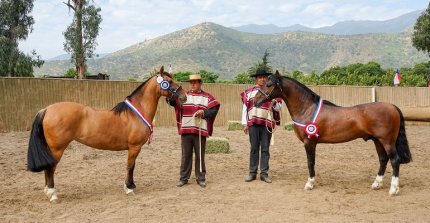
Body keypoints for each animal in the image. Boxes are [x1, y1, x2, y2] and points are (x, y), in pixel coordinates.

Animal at [26, 66, 186, 202]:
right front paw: (128, 188)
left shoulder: (134, 148)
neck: (136, 112)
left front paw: (132, 185)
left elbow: (133, 166)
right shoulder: (134, 147)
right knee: (51, 168)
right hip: (57, 149)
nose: (184, 96)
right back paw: (52, 194)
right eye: (169, 82)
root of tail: (46, 109)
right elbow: (129, 166)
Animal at [254, 70, 412, 196]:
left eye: (268, 84)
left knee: (395, 160)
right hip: (377, 140)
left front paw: (310, 184)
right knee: (383, 160)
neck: (307, 109)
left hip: (387, 141)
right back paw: (376, 184)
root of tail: (392, 106)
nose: (255, 101)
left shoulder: (309, 141)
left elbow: (310, 162)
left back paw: (393, 190)